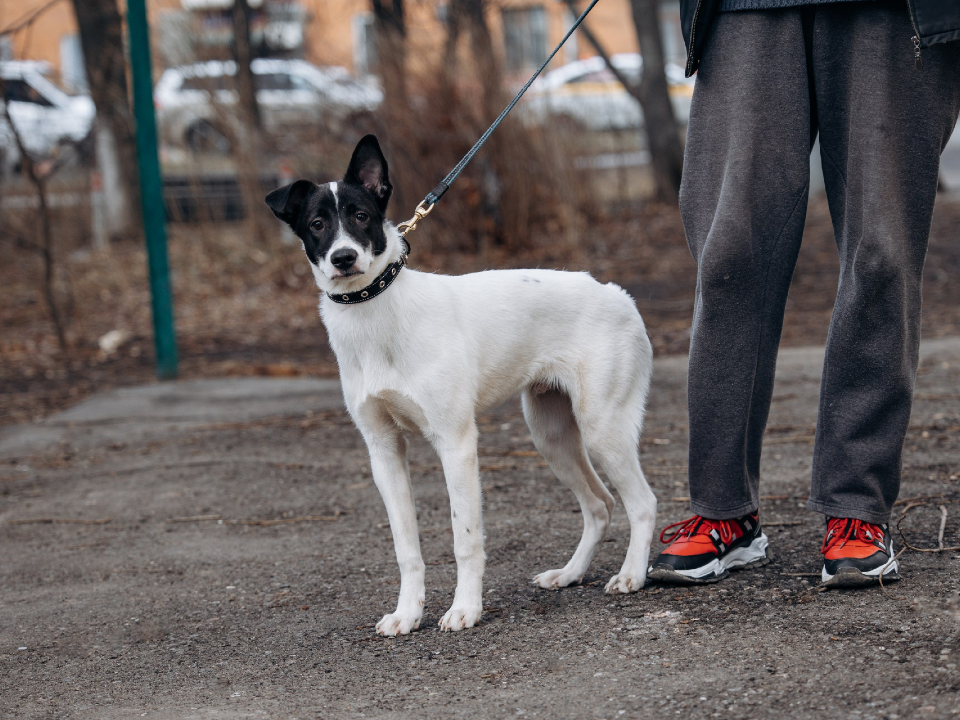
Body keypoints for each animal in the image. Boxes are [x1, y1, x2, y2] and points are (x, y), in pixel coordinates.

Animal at [266, 135, 656, 636]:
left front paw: (465, 608)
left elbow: (464, 539)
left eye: (361, 216)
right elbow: (406, 548)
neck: (376, 314)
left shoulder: (456, 443)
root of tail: (615, 292)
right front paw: (408, 613)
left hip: (602, 428)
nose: (344, 258)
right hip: (551, 435)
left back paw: (631, 575)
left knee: (641, 502)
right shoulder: (383, 452)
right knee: (600, 504)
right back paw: (570, 574)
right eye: (317, 223)